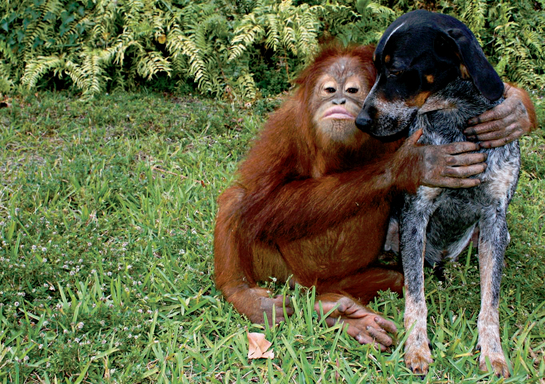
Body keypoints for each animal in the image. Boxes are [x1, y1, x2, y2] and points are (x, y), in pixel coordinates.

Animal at [356, 9, 520, 378]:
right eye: (376, 68)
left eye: (397, 69)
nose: (360, 121)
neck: (457, 117)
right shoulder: (415, 213)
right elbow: (415, 296)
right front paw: (417, 348)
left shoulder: (494, 216)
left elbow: (491, 302)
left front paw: (494, 353)